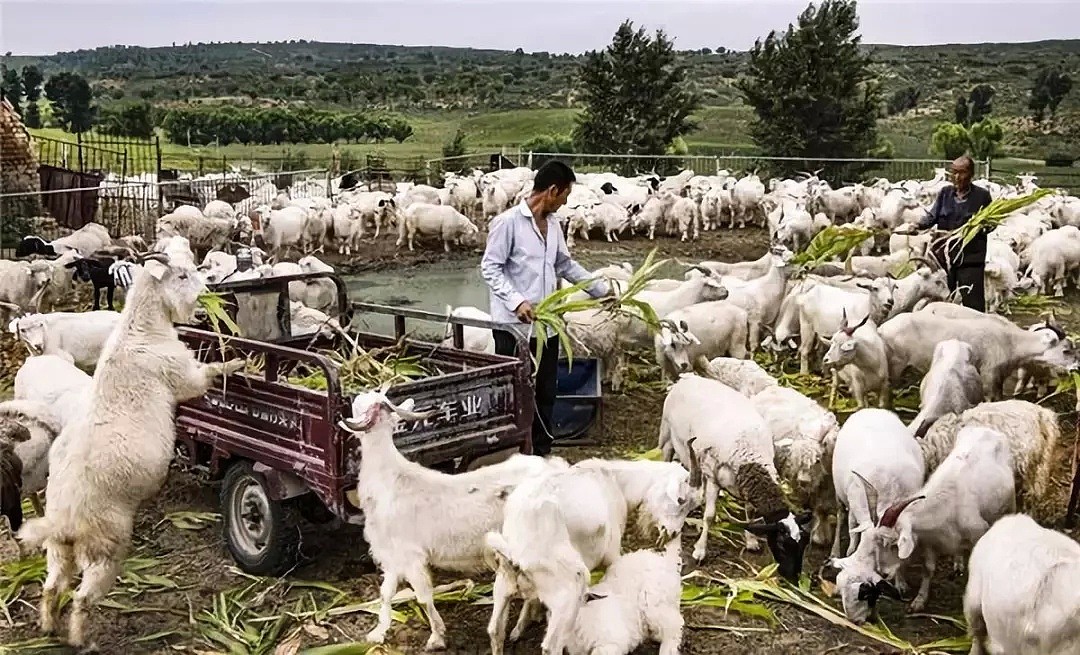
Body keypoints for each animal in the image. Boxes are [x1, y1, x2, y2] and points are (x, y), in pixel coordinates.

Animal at [15, 241, 245, 652]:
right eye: (182, 275)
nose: (207, 297)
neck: (140, 331)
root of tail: (64, 520)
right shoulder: (184, 377)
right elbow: (206, 375)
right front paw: (236, 362)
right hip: (104, 547)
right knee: (81, 597)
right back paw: (81, 640)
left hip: (59, 550)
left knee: (52, 586)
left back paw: (48, 628)